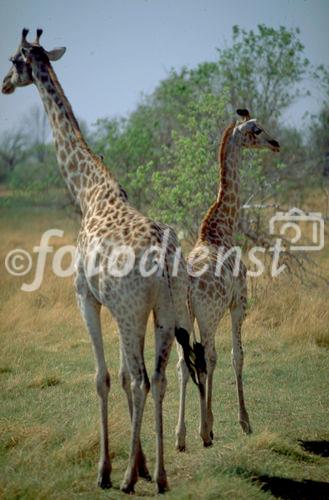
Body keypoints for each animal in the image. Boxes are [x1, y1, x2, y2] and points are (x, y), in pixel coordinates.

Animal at [3, 28, 202, 496]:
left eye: (14, 59)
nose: (3, 84)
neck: (87, 191)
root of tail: (165, 255)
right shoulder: (118, 308)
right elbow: (126, 378)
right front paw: (142, 463)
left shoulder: (86, 297)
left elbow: (104, 377)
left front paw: (108, 469)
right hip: (164, 313)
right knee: (157, 379)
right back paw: (161, 476)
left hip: (134, 312)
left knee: (145, 378)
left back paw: (128, 479)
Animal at [174, 108, 280, 450]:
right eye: (256, 129)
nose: (275, 144)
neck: (220, 229)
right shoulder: (239, 303)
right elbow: (236, 356)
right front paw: (244, 421)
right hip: (207, 317)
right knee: (207, 358)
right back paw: (204, 431)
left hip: (179, 320)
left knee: (184, 364)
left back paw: (181, 436)